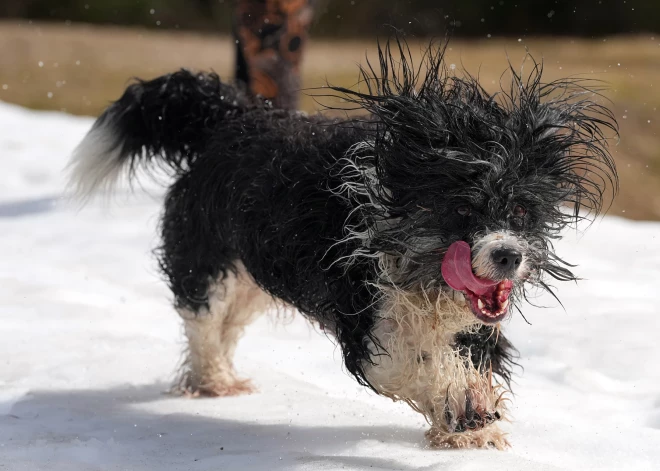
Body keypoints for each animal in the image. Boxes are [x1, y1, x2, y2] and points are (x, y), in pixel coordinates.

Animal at [67, 39, 620, 450]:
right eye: (463, 211)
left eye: (522, 211)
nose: (509, 255)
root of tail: (229, 120)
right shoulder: (367, 318)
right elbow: (410, 365)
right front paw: (460, 412)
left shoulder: (471, 325)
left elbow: (473, 360)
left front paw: (469, 422)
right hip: (208, 259)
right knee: (202, 320)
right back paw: (214, 383)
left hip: (251, 279)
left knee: (225, 326)